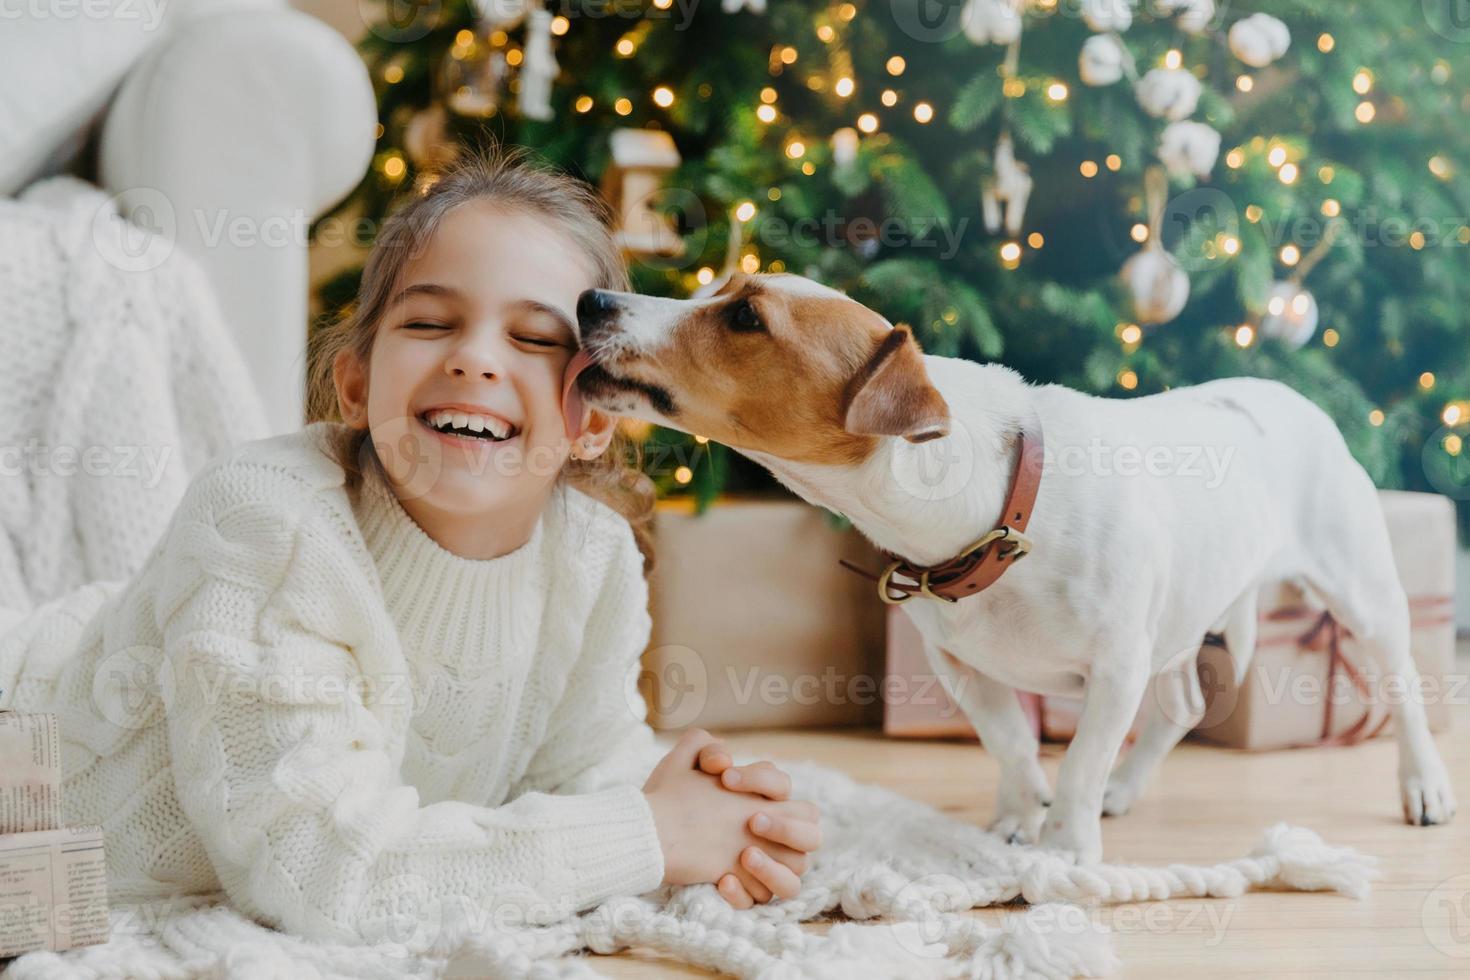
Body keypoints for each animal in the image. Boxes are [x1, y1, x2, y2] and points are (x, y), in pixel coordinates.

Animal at [567, 271, 1452, 863]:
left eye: (747, 316)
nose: (593, 301)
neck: (1000, 508)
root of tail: (1286, 392)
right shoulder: (961, 664)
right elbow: (1013, 744)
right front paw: (1022, 816)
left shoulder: (1114, 667)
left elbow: (1083, 755)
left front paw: (1063, 849)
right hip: (1179, 614)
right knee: (1182, 705)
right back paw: (1127, 789)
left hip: (1361, 592)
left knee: (1404, 686)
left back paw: (1423, 785)